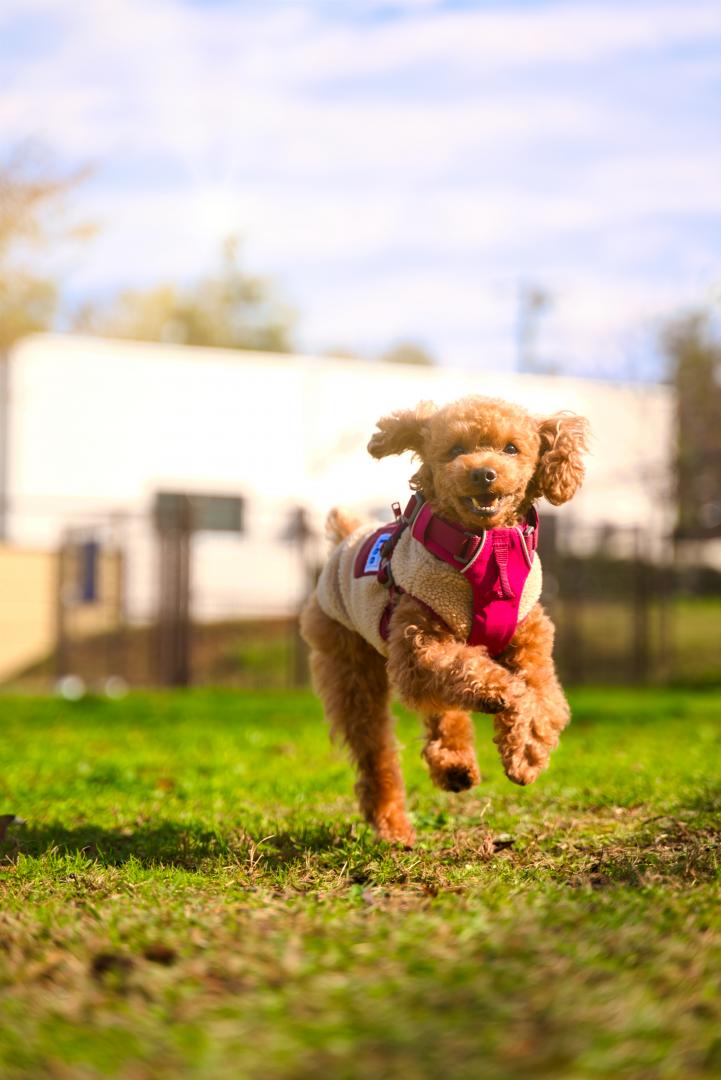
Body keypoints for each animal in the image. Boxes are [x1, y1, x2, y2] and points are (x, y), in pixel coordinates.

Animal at [302, 393, 587, 846]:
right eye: (455, 450)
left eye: (511, 448)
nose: (484, 473)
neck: (490, 550)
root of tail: (346, 537)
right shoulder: (419, 646)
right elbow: (486, 677)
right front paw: (502, 694)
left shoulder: (531, 642)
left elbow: (545, 700)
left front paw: (526, 752)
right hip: (347, 662)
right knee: (377, 751)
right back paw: (394, 827)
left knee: (444, 712)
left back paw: (454, 767)